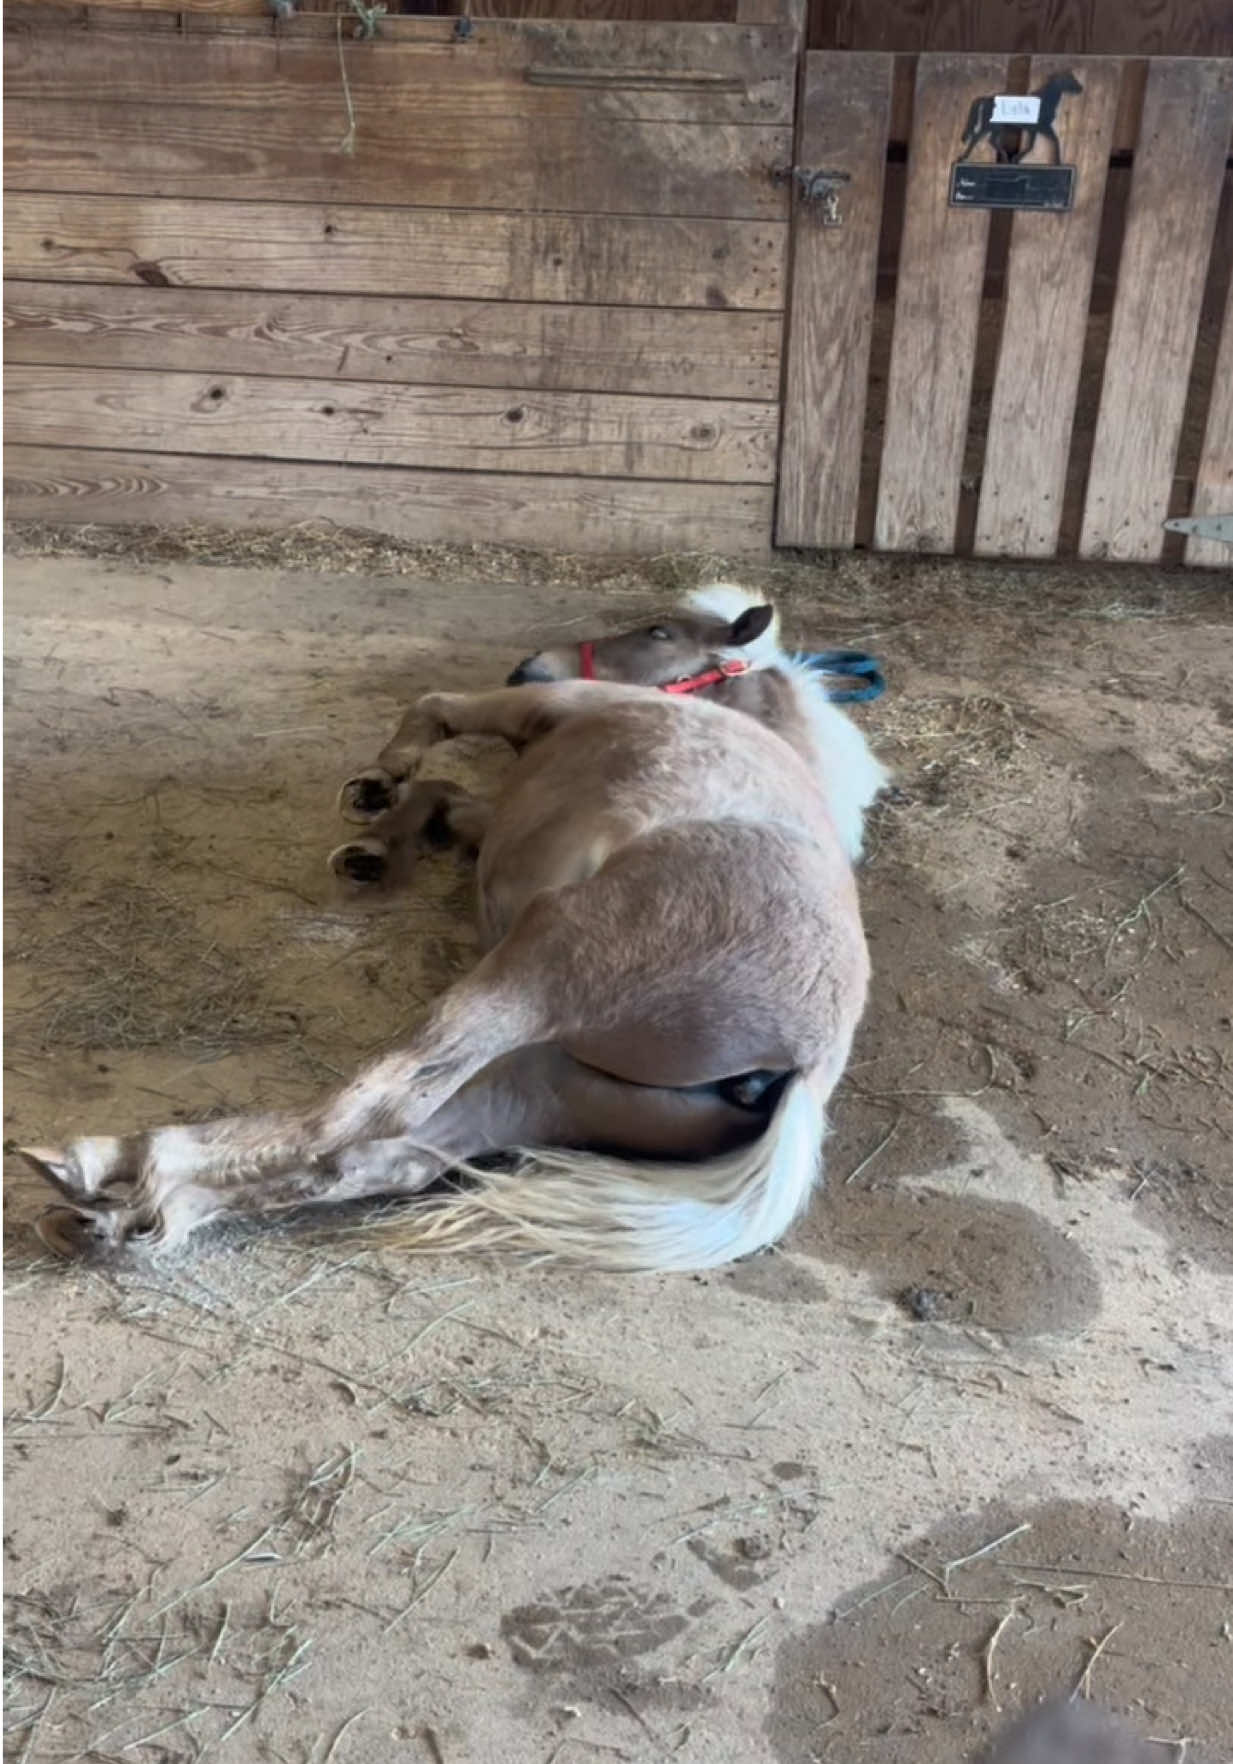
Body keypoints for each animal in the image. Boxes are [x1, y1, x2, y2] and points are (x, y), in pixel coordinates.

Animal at [21, 585, 889, 1272]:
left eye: (657, 631)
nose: (531, 666)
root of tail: (803, 1065)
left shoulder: (532, 716)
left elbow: (435, 713)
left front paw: (379, 790)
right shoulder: (508, 818)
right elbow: (443, 799)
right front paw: (374, 838)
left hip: (535, 974)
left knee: (366, 1110)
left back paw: (116, 1166)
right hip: (545, 1085)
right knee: (378, 1159)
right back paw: (126, 1212)